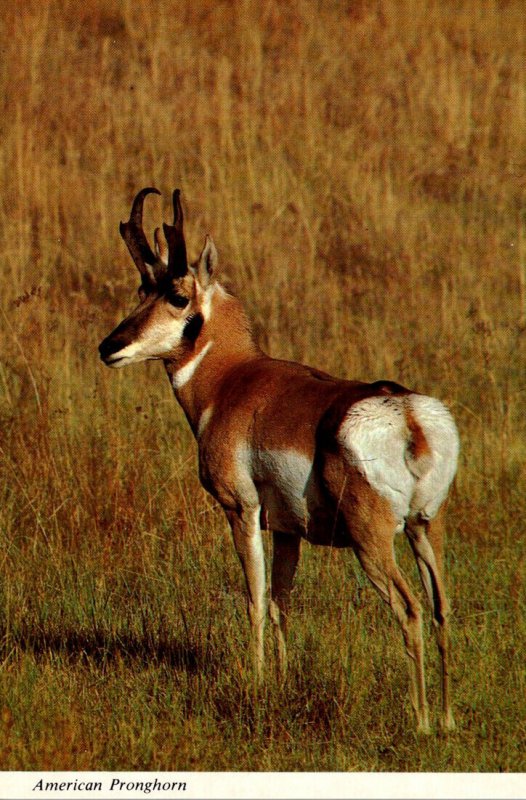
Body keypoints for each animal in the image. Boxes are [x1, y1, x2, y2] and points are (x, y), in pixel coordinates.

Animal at [100, 188, 462, 732]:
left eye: (177, 295)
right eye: (142, 288)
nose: (109, 346)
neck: (231, 379)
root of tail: (410, 417)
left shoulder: (242, 511)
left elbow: (253, 598)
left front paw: (255, 681)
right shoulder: (289, 530)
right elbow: (280, 604)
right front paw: (284, 679)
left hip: (372, 541)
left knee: (410, 608)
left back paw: (418, 721)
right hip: (424, 528)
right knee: (440, 608)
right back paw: (445, 719)